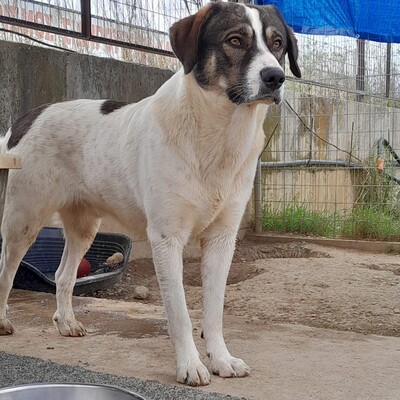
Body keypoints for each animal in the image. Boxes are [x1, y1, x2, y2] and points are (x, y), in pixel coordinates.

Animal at [0, 1, 300, 386]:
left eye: (277, 44)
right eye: (235, 40)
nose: (275, 77)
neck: (218, 136)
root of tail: (30, 115)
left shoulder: (223, 238)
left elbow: (214, 310)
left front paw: (221, 359)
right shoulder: (166, 238)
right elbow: (180, 314)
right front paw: (190, 365)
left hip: (84, 228)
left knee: (64, 275)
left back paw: (66, 322)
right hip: (22, 222)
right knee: (6, 273)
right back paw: (3, 320)